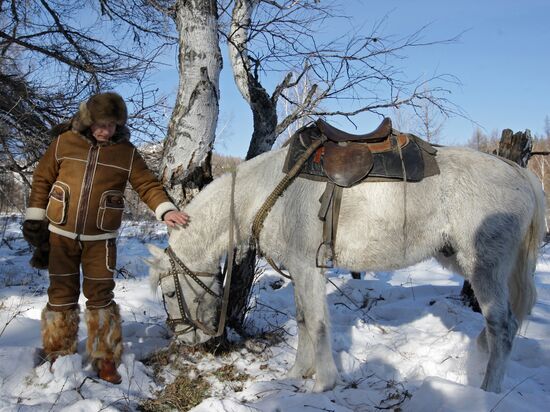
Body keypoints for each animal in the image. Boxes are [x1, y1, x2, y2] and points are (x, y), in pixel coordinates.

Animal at [148, 144, 548, 392]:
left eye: (168, 291)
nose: (187, 342)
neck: (267, 190)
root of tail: (521, 174)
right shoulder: (299, 270)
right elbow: (303, 321)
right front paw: (296, 374)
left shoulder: (308, 268)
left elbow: (318, 324)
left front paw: (322, 383)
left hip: (485, 268)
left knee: (502, 327)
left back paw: (488, 393)